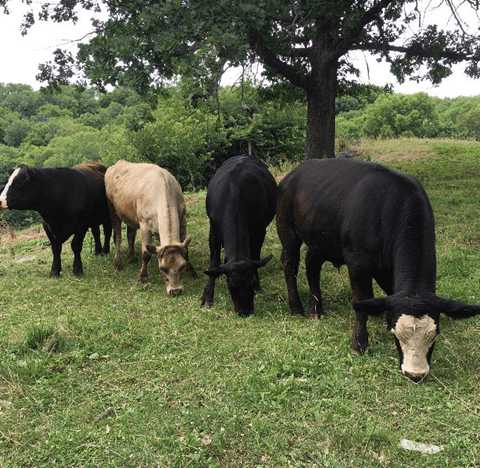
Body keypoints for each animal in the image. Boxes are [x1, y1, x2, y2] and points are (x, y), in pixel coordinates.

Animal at [105, 159, 197, 294]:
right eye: (162, 268)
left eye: (182, 265)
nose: (175, 291)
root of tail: (120, 162)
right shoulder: (144, 226)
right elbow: (146, 253)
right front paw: (143, 277)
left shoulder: (183, 220)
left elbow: (186, 249)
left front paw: (191, 271)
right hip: (113, 210)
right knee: (117, 237)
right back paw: (118, 263)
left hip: (130, 214)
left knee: (130, 234)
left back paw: (132, 257)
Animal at [200, 155, 278, 316]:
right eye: (231, 286)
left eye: (252, 283)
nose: (245, 312)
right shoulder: (213, 233)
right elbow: (214, 263)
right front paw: (208, 297)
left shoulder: (260, 230)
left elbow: (255, 256)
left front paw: (259, 287)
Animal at [276, 157, 480, 380]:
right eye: (397, 336)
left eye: (434, 336)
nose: (415, 374)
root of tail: (297, 170)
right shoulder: (357, 259)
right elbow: (362, 298)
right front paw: (359, 343)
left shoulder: (388, 268)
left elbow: (390, 293)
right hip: (287, 228)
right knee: (290, 264)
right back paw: (297, 308)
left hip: (321, 238)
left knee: (312, 263)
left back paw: (316, 309)